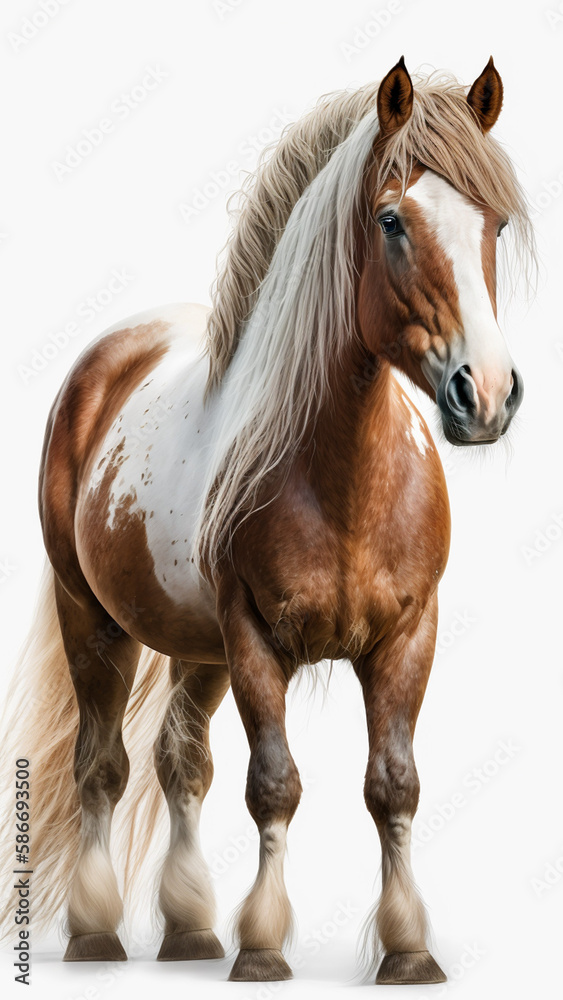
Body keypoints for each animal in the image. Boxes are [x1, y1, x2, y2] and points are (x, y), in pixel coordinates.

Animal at [0, 57, 535, 985]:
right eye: (390, 220)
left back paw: (187, 933)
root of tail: (107, 358)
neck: (339, 476)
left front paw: (407, 950)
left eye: (493, 223)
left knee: (181, 764)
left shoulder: (406, 637)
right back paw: (98, 934)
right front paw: (260, 947)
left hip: (196, 648)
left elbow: (393, 784)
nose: (488, 395)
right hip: (94, 620)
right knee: (101, 767)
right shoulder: (253, 639)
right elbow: (273, 784)